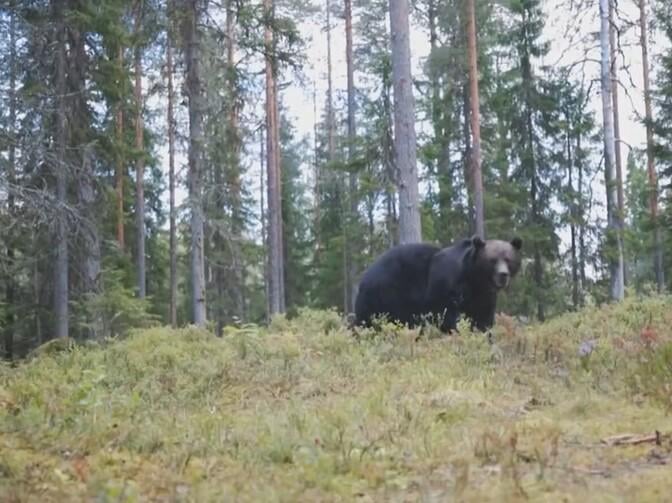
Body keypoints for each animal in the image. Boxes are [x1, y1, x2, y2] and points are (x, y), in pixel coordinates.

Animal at [354, 235, 523, 333]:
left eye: (508, 259)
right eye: (493, 260)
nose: (503, 275)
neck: (473, 278)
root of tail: (365, 275)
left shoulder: (484, 295)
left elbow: (483, 318)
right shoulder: (447, 286)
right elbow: (448, 315)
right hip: (386, 295)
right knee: (367, 321)